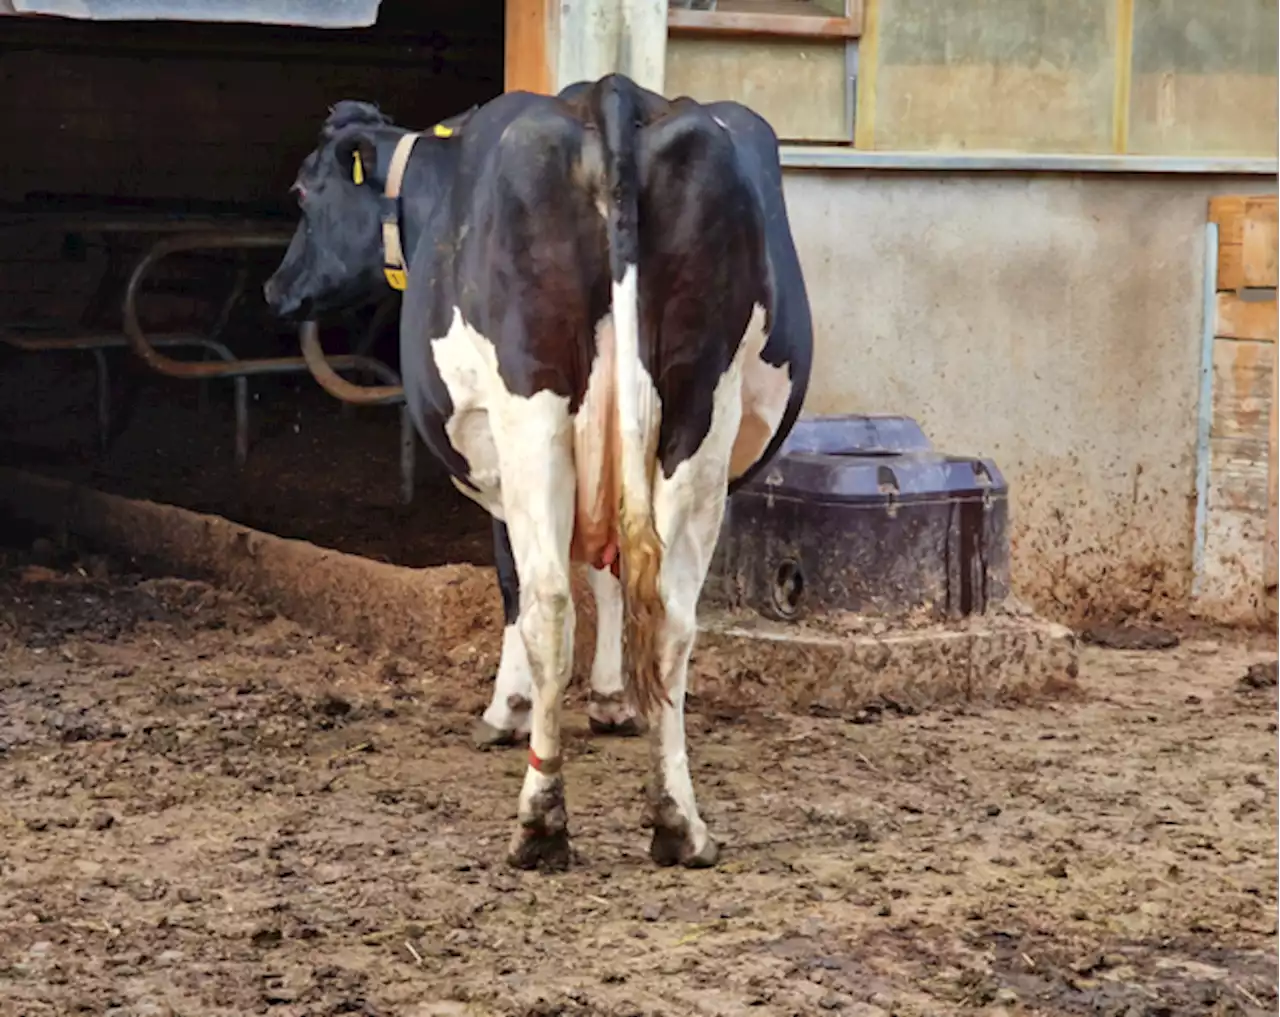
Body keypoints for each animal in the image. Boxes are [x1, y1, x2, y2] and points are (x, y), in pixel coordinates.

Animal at [264, 71, 814, 869]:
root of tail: (613, 92)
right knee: (670, 615)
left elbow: (514, 585)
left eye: (305, 192)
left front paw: (508, 708)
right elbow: (612, 573)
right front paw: (613, 700)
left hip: (532, 408)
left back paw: (541, 821)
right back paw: (678, 822)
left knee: (550, 604)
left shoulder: (494, 467)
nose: (276, 290)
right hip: (696, 415)